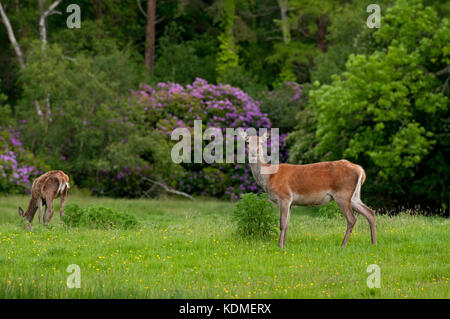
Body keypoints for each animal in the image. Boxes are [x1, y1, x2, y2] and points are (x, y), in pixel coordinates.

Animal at [239, 131, 376, 249]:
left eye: (262, 142)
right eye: (247, 142)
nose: (253, 152)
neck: (269, 177)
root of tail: (361, 170)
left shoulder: (284, 196)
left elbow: (282, 224)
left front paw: (280, 247)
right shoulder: (290, 202)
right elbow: (287, 224)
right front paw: (285, 245)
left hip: (342, 194)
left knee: (352, 219)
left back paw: (343, 245)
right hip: (354, 196)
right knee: (370, 212)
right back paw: (373, 243)